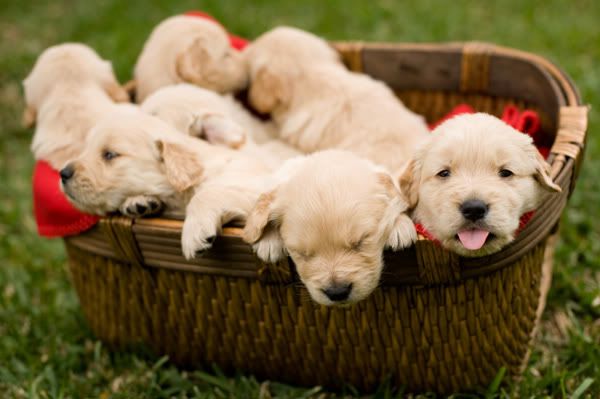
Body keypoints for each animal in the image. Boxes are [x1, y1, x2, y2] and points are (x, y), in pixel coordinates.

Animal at [61, 106, 274, 256]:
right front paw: (138, 202)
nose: (63, 173)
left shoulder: (256, 187)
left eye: (110, 155)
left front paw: (194, 232)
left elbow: (208, 193)